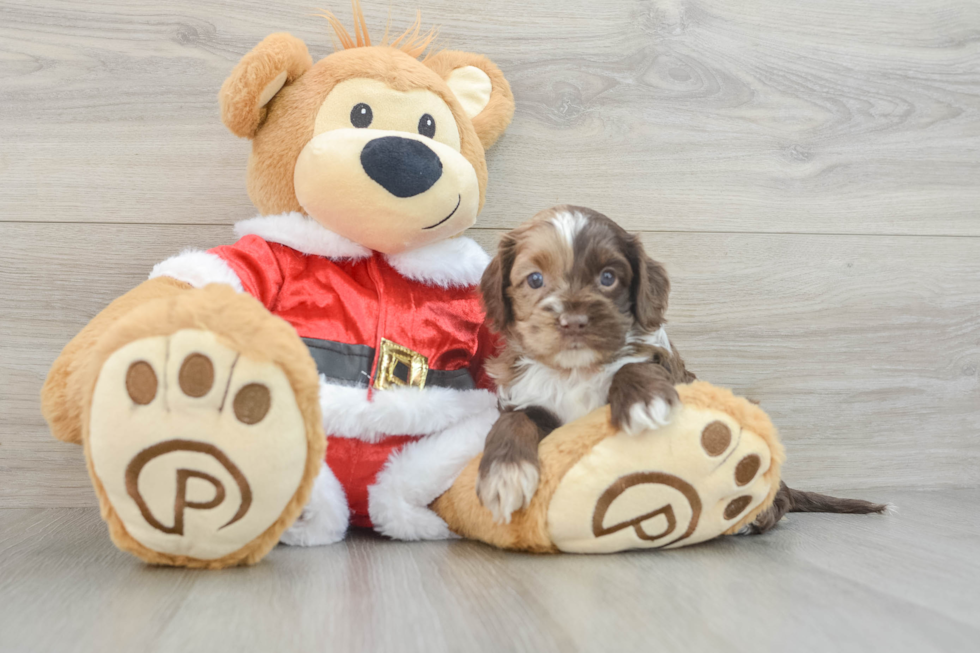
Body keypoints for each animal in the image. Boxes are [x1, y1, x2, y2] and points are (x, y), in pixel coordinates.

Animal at [474, 206, 888, 528]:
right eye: (535, 279)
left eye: (608, 277)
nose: (573, 321)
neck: (576, 371)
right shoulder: (529, 399)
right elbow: (513, 420)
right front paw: (503, 475)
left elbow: (632, 365)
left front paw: (644, 402)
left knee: (778, 498)